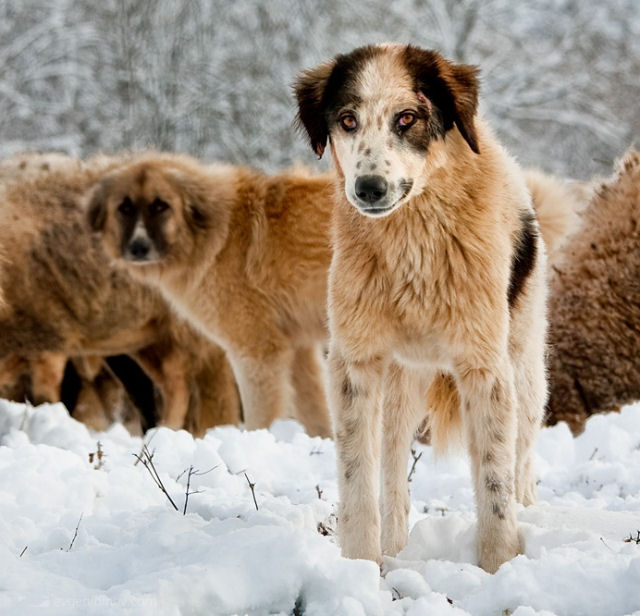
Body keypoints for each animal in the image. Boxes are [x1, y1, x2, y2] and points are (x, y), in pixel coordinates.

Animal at [292, 44, 548, 572]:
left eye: (407, 117)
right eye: (347, 120)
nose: (369, 188)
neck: (413, 247)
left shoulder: (485, 368)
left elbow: (494, 485)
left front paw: (497, 568)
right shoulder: (355, 363)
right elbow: (358, 482)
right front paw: (360, 567)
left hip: (525, 375)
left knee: (520, 461)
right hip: (401, 387)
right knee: (392, 471)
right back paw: (394, 551)